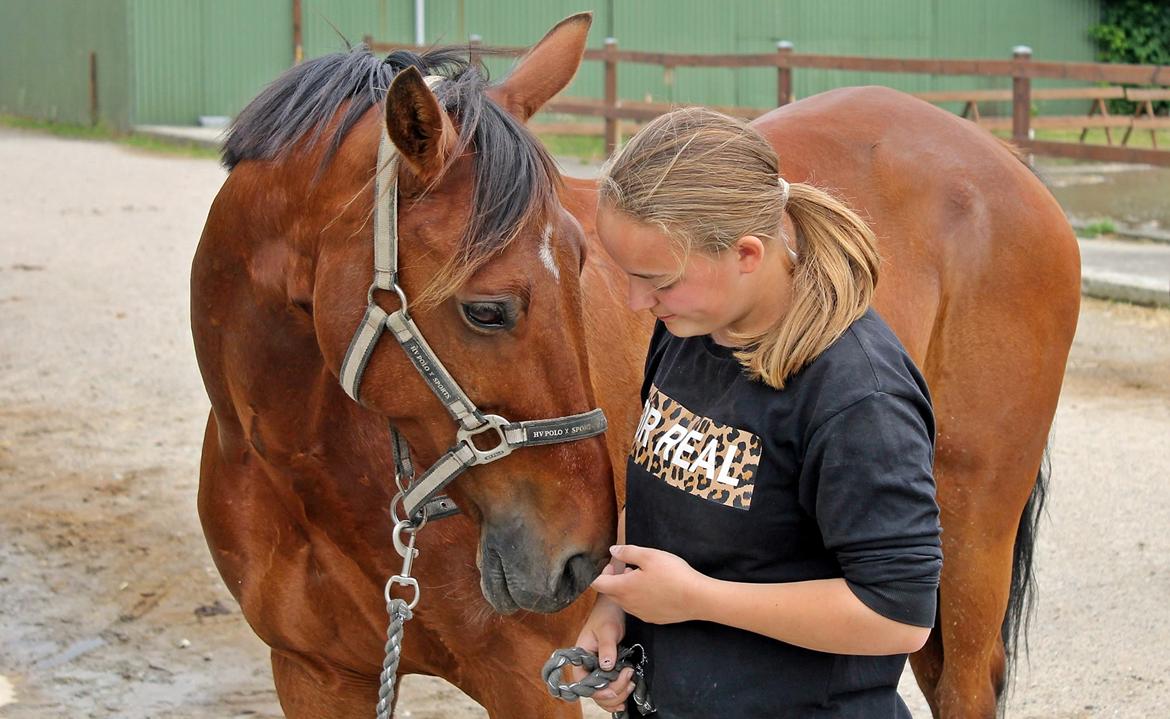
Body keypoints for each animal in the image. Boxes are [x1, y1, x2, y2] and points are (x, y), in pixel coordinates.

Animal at [189, 11, 1076, 719]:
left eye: (585, 264)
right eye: (488, 307)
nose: (583, 556)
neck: (313, 474)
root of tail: (1003, 160)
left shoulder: (528, 680)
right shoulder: (316, 674)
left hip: (968, 536)